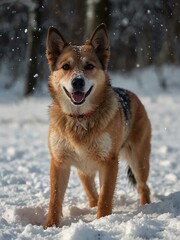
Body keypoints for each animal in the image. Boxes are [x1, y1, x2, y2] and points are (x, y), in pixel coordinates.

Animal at [44, 23, 152, 228]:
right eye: (65, 67)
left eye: (89, 66)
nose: (77, 81)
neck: (80, 118)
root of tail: (133, 95)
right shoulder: (59, 162)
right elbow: (54, 199)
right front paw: (50, 226)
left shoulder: (108, 162)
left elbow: (106, 197)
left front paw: (103, 222)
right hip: (83, 169)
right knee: (91, 191)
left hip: (138, 161)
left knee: (143, 187)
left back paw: (146, 208)